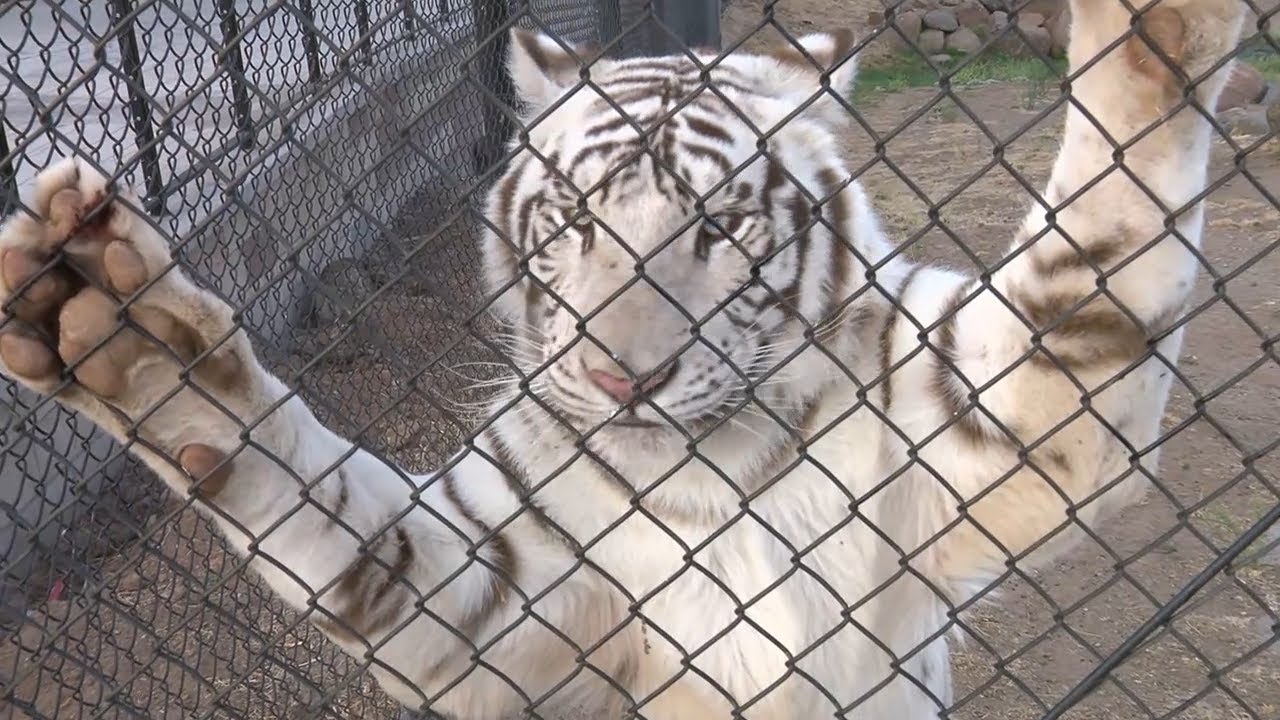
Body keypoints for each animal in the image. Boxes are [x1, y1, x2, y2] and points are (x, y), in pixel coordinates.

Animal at [0, 0, 1245, 717]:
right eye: (573, 222)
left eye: (721, 227)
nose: (621, 383)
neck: (695, 474)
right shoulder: (495, 578)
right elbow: (322, 502)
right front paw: (122, 335)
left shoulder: (986, 423)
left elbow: (1103, 233)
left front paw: (1159, 20)